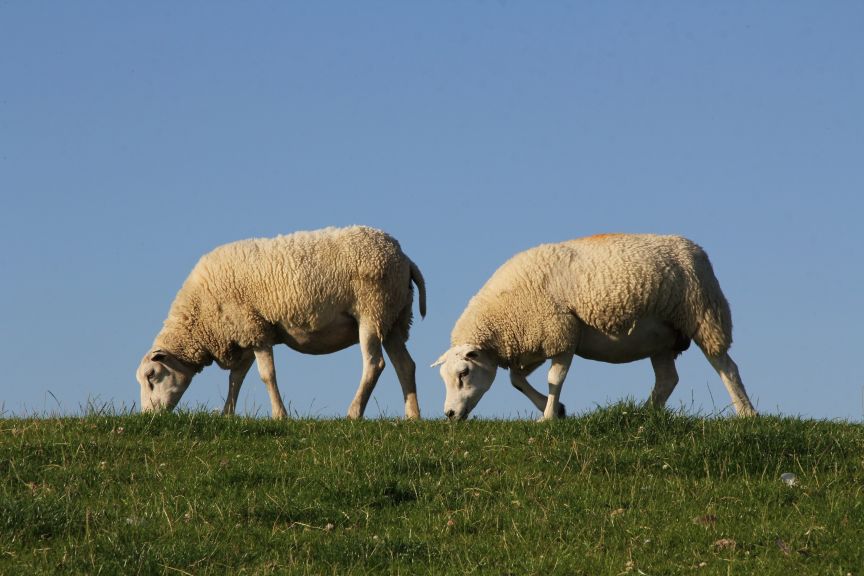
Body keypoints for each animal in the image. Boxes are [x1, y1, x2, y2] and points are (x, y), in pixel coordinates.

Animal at [136, 224, 428, 418]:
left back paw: (354, 413)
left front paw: (280, 415)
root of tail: (405, 259)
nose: (149, 417)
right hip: (394, 318)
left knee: (374, 364)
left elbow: (266, 375)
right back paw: (412, 416)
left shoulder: (255, 330)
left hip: (371, 311)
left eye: (152, 375)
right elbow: (236, 378)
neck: (200, 316)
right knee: (405, 365)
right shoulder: (246, 331)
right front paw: (227, 414)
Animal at [432, 233, 756, 418]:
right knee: (667, 380)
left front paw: (548, 417)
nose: (449, 414)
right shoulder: (534, 342)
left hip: (704, 316)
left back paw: (746, 413)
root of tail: (697, 250)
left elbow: (554, 379)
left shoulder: (562, 334)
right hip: (661, 338)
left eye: (464, 373)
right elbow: (515, 379)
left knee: (727, 368)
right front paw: (555, 409)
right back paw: (646, 414)